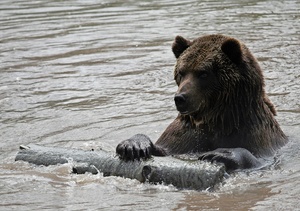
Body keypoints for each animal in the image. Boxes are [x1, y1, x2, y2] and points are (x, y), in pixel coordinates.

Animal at [115, 34, 288, 171]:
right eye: (182, 72)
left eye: (203, 73)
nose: (180, 98)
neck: (216, 118)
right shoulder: (187, 135)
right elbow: (165, 149)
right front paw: (133, 146)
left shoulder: (255, 135)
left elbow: (259, 158)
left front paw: (220, 153)